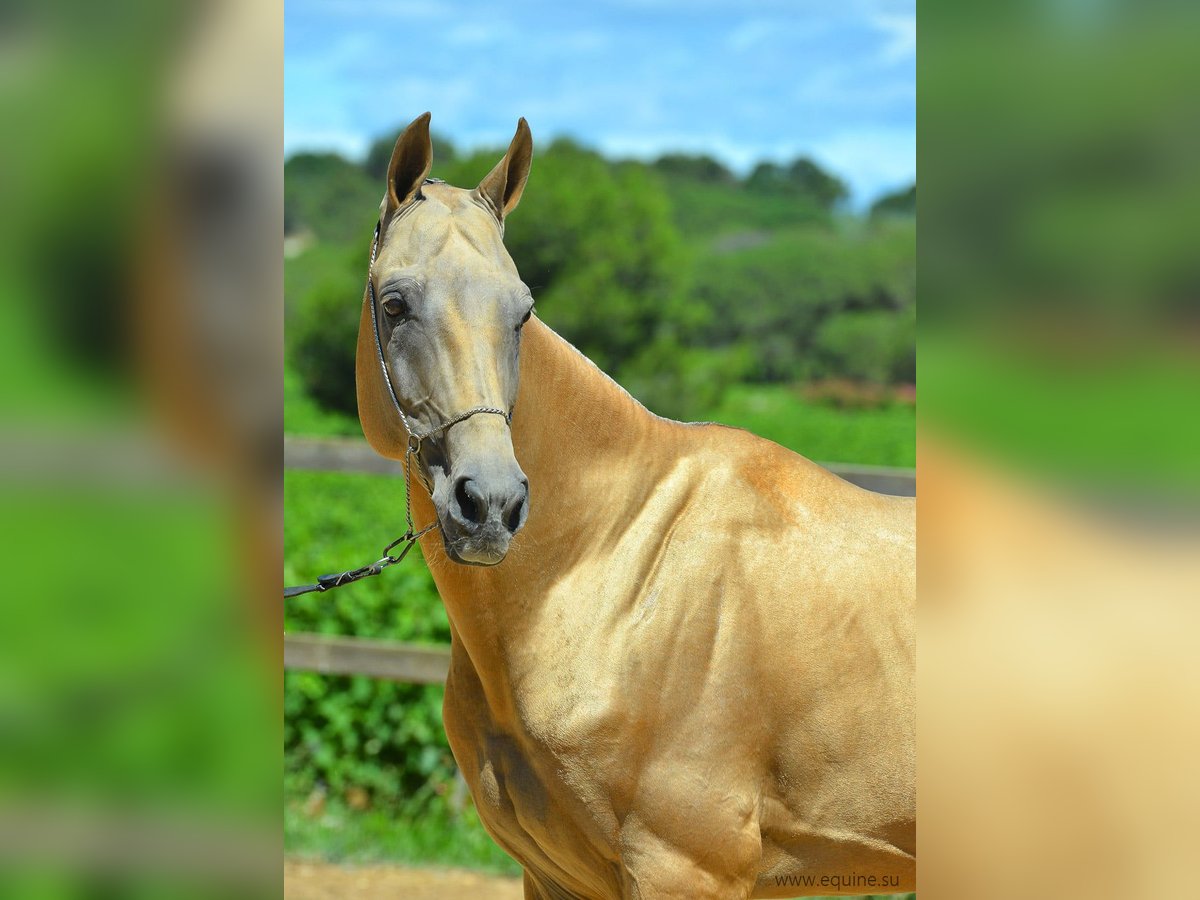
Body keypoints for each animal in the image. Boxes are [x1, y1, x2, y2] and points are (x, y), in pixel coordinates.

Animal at [352, 114, 907, 900]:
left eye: (522, 313)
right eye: (394, 303)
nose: (490, 503)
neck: (611, 567)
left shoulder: (685, 870)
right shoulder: (554, 878)